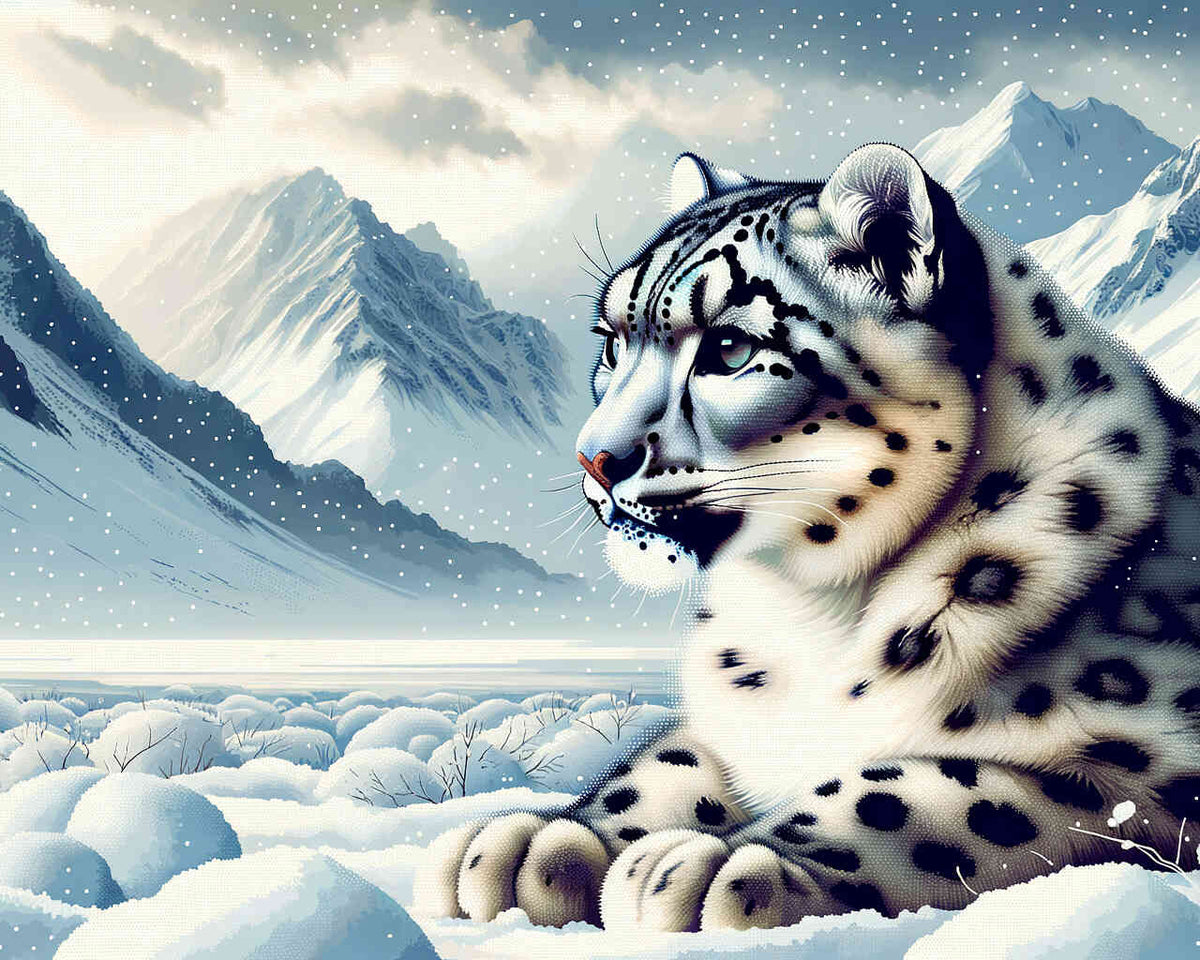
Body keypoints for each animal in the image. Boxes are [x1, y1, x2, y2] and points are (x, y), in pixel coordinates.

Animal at [414, 143, 1200, 933]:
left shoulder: (1150, 772)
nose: (594, 460)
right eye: (612, 344)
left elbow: (929, 790)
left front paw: (716, 866)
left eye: (730, 348)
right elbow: (659, 766)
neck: (809, 611)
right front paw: (536, 843)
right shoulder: (725, 721)